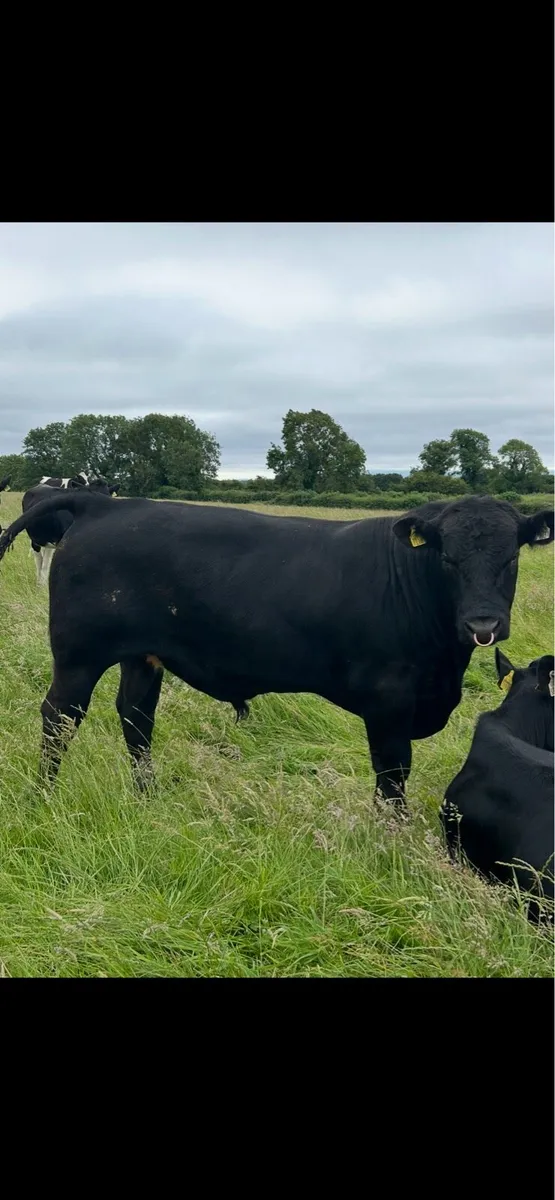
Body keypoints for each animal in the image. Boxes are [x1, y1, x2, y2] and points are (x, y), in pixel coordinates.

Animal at [0, 492, 552, 800]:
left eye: (511, 556)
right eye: (447, 558)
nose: (483, 621)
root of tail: (105, 503)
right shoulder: (389, 702)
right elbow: (392, 775)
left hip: (142, 655)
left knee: (136, 717)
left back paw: (147, 796)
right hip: (78, 655)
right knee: (60, 718)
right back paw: (44, 797)